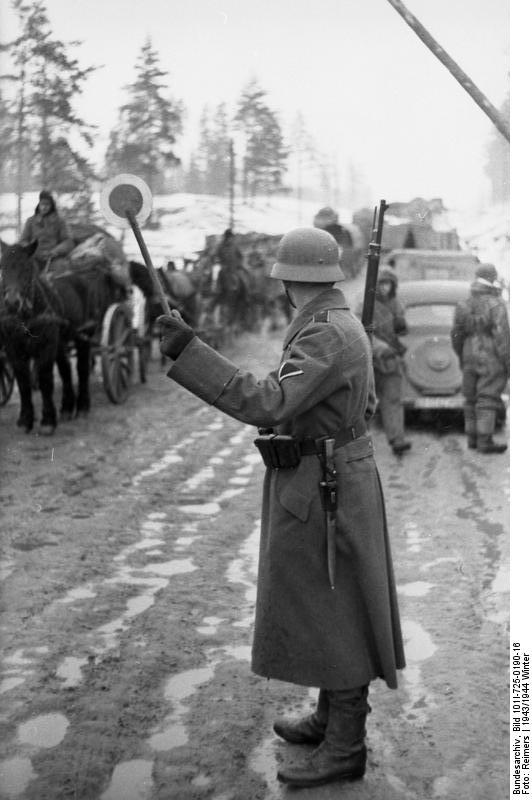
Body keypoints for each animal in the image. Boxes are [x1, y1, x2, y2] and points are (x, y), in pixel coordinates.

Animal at [0, 241, 123, 434]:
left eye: (27, 269)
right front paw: (25, 419)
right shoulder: (14, 349)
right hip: (62, 341)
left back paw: (82, 406)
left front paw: (48, 421)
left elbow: (45, 380)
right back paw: (67, 407)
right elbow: (23, 382)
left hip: (84, 335)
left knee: (81, 368)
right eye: (2, 267)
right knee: (65, 370)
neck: (27, 316)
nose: (12, 302)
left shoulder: (46, 346)